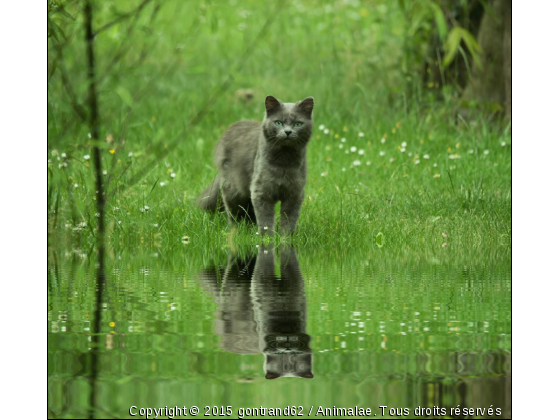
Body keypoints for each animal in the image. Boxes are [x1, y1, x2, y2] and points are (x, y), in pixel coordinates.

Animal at [197, 94, 312, 236]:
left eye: (298, 124)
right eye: (278, 122)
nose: (288, 132)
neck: (284, 161)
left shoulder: (295, 193)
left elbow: (289, 219)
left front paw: (286, 238)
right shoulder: (261, 191)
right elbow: (266, 219)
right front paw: (267, 238)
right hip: (234, 189)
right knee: (234, 212)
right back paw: (237, 230)